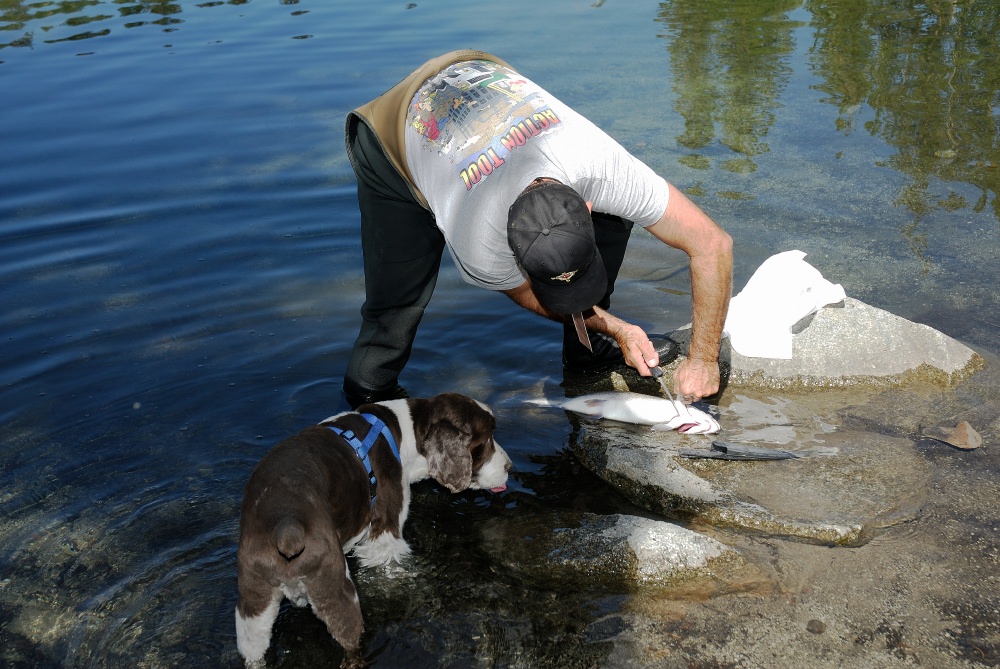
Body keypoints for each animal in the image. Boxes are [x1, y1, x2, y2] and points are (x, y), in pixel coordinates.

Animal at [236, 392, 508, 668]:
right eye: (487, 438)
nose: (509, 466)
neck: (404, 431)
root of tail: (286, 525)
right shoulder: (386, 531)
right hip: (335, 588)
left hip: (253, 601)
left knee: (253, 650)